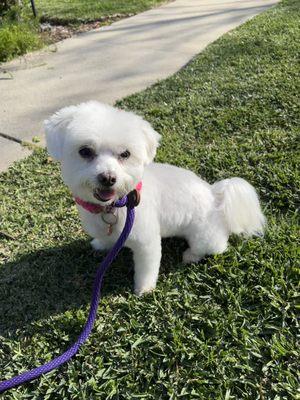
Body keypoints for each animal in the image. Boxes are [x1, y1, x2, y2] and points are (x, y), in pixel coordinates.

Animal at [44, 101, 264, 296]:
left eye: (125, 154)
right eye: (85, 151)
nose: (108, 178)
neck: (114, 206)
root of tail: (215, 195)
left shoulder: (146, 242)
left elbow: (146, 269)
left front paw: (144, 289)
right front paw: (101, 244)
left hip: (204, 236)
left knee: (216, 247)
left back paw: (191, 255)